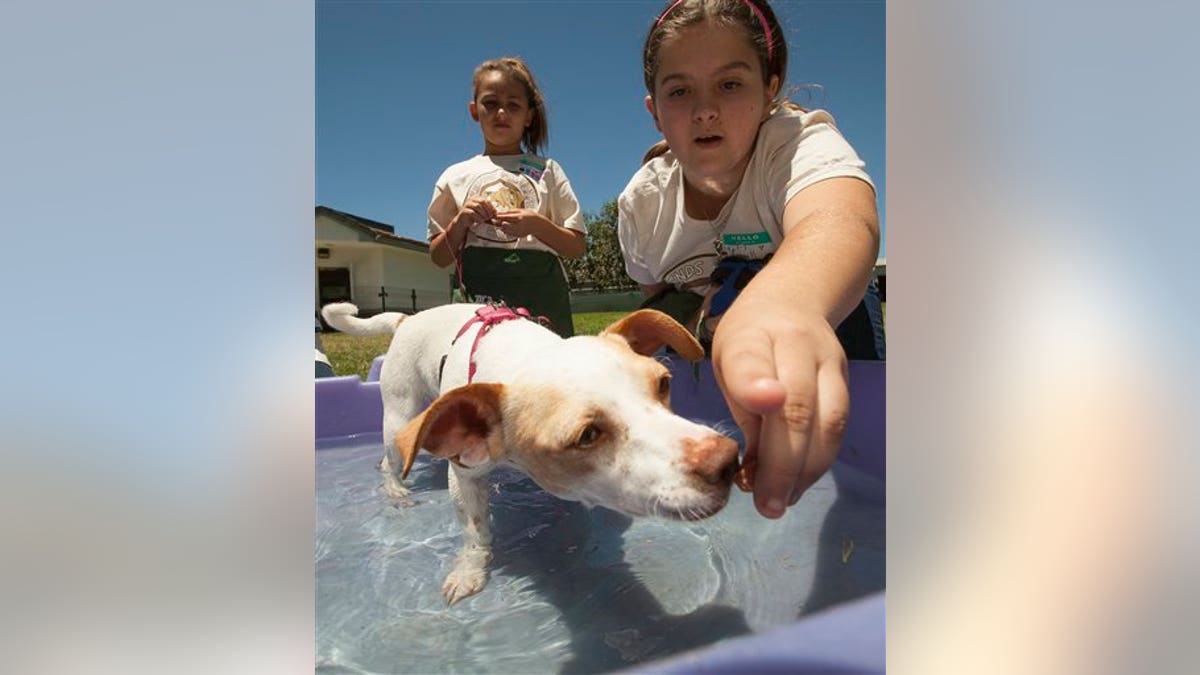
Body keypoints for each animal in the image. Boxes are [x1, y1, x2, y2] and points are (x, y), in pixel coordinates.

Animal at [324, 302, 744, 600]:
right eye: (587, 435)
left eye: (663, 384)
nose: (728, 461)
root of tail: (407, 318)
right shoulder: (464, 475)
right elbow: (475, 532)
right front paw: (469, 571)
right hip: (400, 418)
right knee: (388, 459)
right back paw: (395, 490)